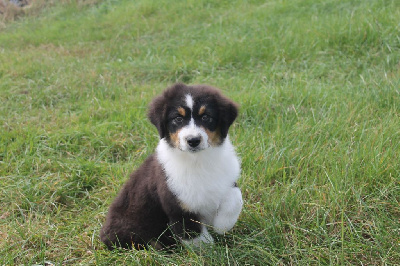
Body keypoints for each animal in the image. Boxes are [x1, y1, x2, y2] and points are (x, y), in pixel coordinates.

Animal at [100, 83, 244, 249]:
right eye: (178, 118)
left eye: (206, 117)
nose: (193, 140)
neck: (198, 160)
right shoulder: (178, 204)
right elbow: (194, 235)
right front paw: (210, 248)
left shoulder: (227, 179)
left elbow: (236, 197)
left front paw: (222, 225)